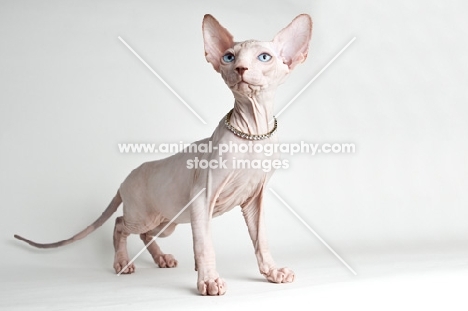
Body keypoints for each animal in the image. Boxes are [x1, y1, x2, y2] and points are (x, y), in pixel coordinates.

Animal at [14, 14, 312, 298]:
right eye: (229, 57)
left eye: (264, 57)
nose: (240, 68)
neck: (253, 132)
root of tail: (125, 180)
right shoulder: (202, 196)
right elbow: (205, 244)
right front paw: (208, 280)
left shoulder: (255, 199)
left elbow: (261, 239)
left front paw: (272, 272)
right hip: (145, 215)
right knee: (120, 224)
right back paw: (122, 262)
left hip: (167, 221)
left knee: (145, 233)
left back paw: (161, 258)